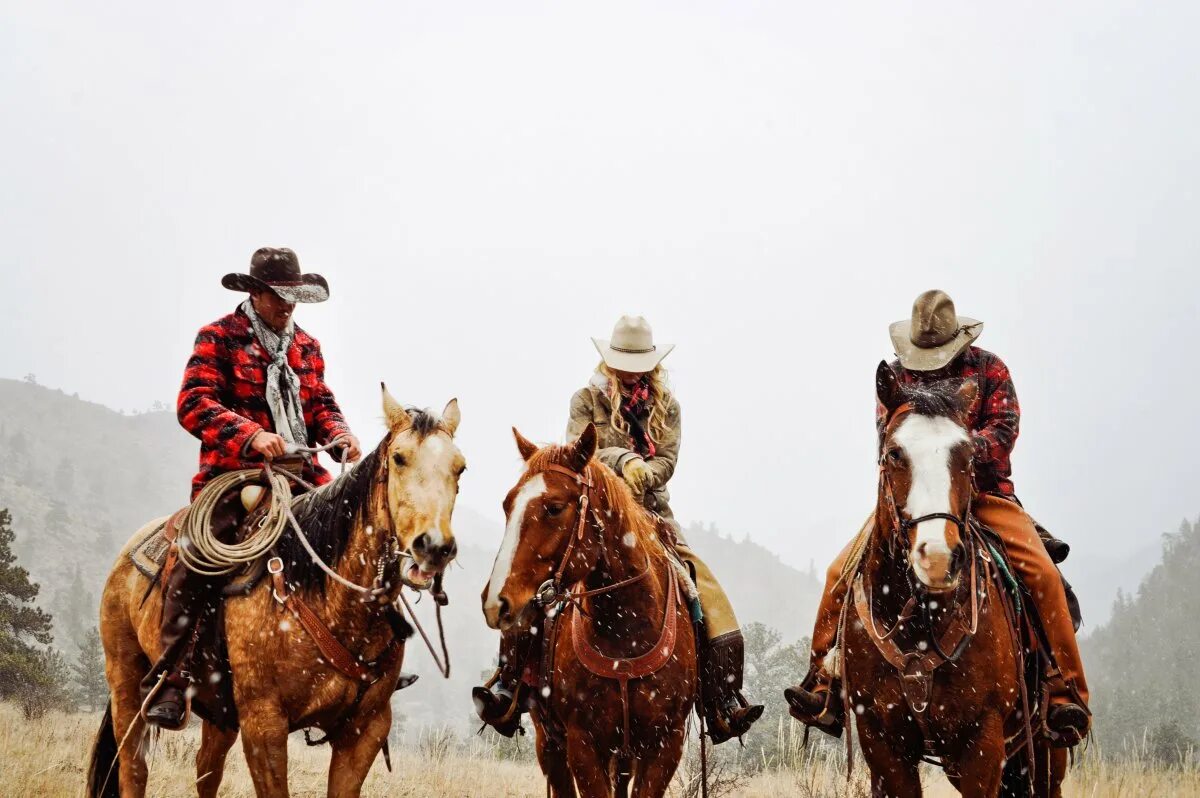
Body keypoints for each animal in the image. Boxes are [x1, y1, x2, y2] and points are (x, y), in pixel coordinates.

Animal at [85, 388, 463, 796]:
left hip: (219, 711)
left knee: (206, 770)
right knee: (133, 767)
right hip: (126, 680)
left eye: (460, 467)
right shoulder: (263, 722)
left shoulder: (366, 729)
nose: (434, 546)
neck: (328, 598)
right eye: (399, 458)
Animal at [482, 427, 700, 796]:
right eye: (507, 504)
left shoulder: (664, 746)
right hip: (549, 744)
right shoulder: (582, 745)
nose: (496, 602)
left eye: (554, 507)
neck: (627, 634)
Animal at [835, 362, 1070, 796]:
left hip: (1045, 758)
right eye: (894, 453)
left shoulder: (982, 743)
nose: (938, 557)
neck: (920, 621)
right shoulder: (882, 742)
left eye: (968, 454)